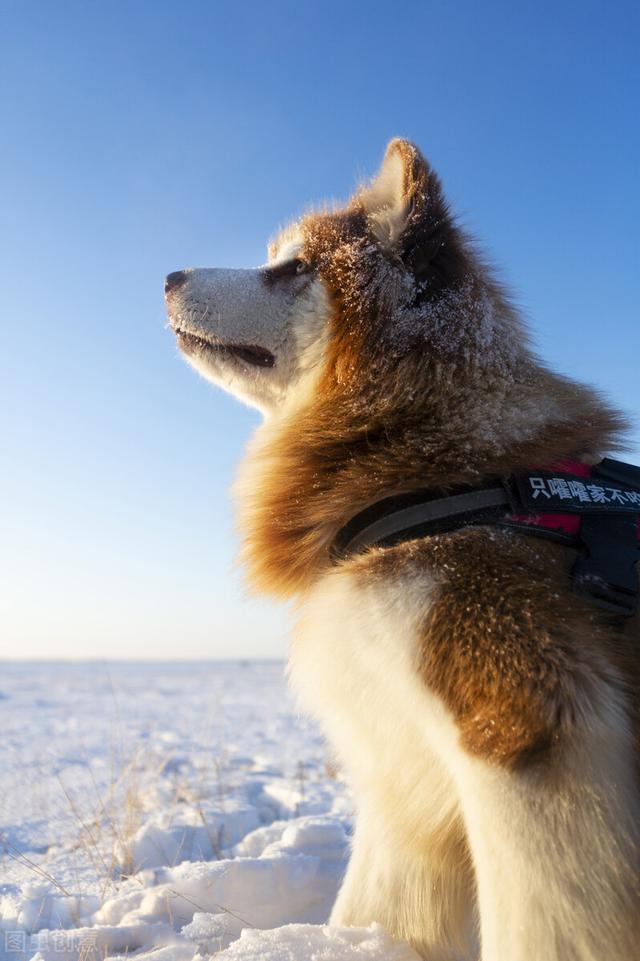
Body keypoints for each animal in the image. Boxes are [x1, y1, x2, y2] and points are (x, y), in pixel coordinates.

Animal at [166, 139, 640, 956]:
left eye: (292, 266)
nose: (167, 278)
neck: (444, 471)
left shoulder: (525, 729)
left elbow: (543, 920)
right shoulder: (404, 770)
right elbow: (378, 906)